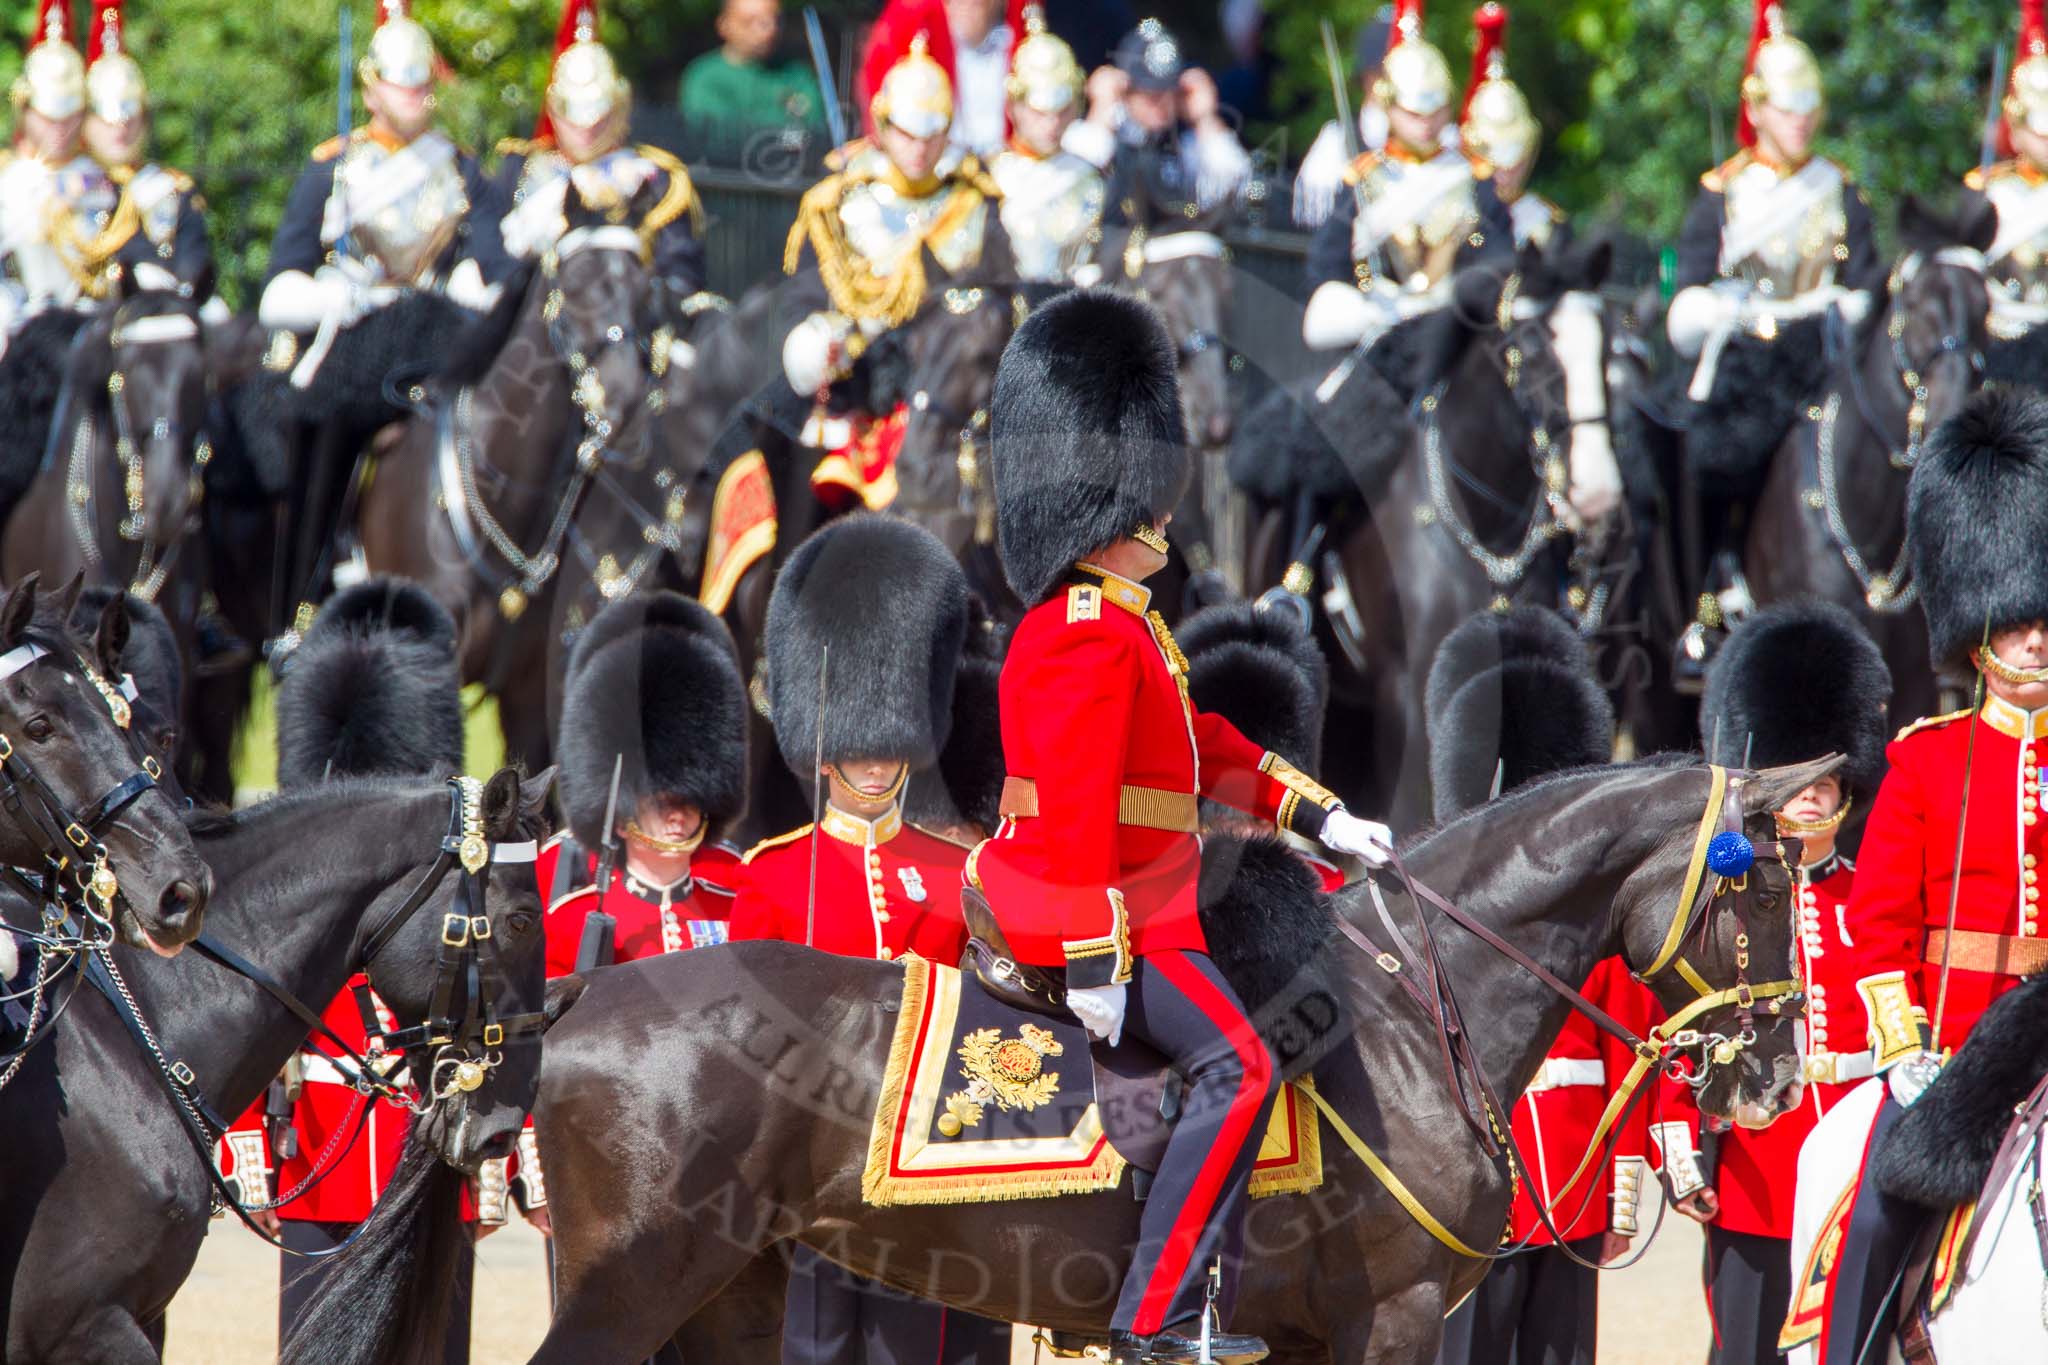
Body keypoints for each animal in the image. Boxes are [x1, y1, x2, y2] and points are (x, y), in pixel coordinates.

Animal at [380, 757, 1810, 1365]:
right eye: (1756, 884)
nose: (1778, 1077)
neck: (1412, 1010)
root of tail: (575, 998)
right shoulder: (1390, 1318)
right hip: (635, 1282)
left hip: (728, 1283)